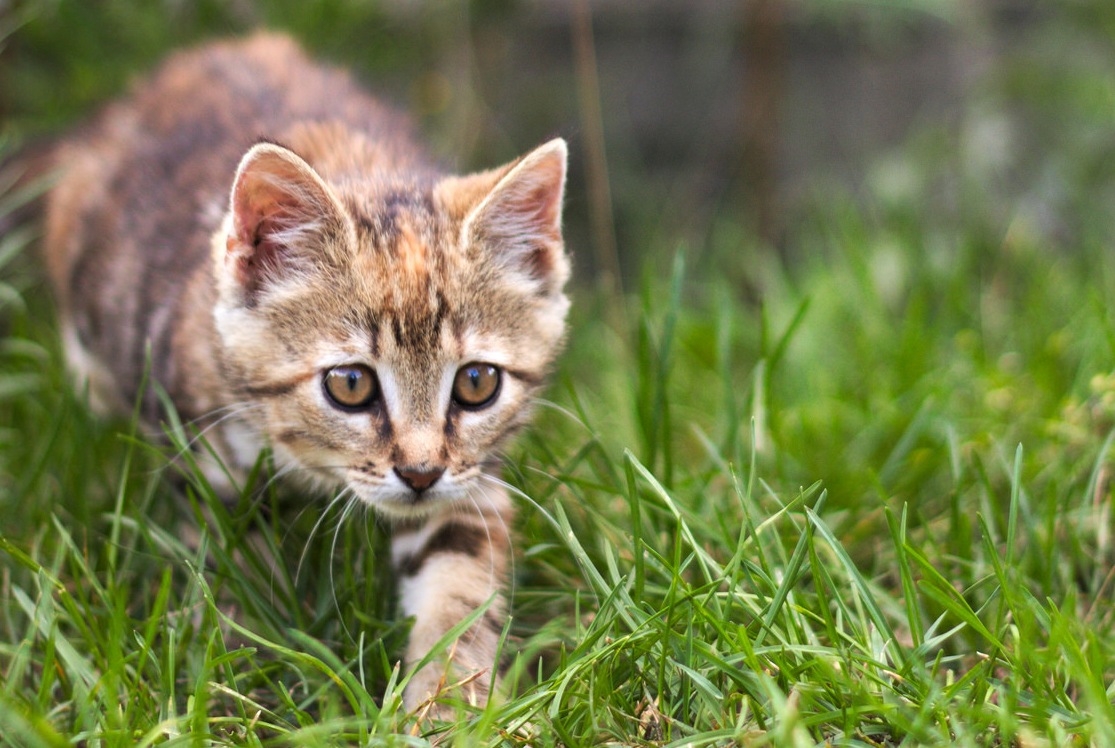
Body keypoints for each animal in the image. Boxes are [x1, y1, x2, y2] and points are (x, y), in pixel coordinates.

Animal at [39, 33, 570, 713]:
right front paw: (238, 683)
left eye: (477, 383)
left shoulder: (471, 481)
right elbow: (230, 578)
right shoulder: (206, 458)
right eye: (350, 385)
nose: (420, 474)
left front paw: (449, 704)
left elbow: (460, 586)